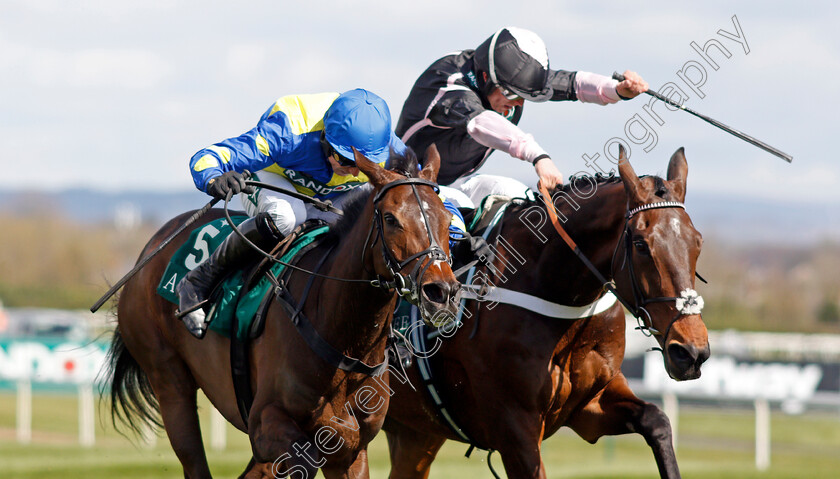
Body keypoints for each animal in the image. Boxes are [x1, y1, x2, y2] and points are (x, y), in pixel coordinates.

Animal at [106, 147, 460, 479]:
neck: (343, 341)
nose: (441, 293)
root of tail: (154, 243)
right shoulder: (266, 425)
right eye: (390, 218)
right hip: (168, 380)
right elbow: (304, 456)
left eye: (448, 220)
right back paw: (193, 287)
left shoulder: (352, 449)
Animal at [386, 148, 708, 478]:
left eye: (697, 242)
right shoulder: (515, 430)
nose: (691, 352)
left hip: (416, 432)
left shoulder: (591, 404)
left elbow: (657, 421)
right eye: (642, 245)